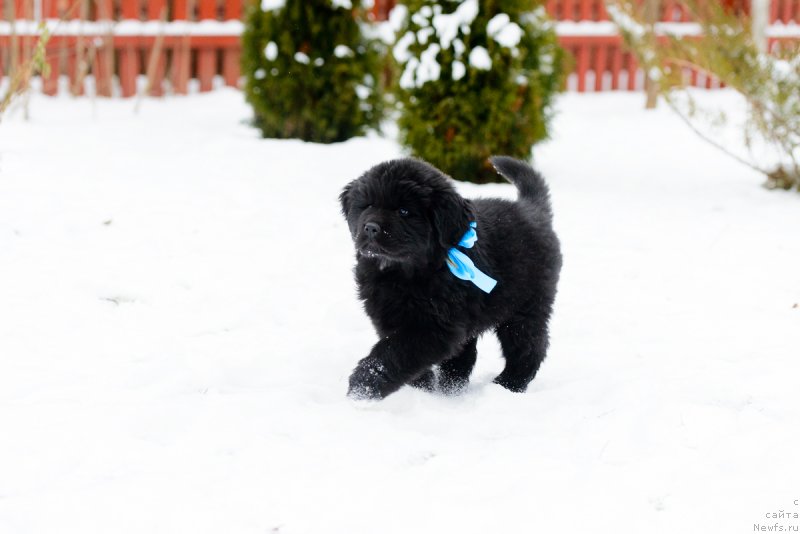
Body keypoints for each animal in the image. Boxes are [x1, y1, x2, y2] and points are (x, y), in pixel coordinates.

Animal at [340, 157, 564, 400]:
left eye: (404, 211)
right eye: (368, 205)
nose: (371, 228)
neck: (402, 273)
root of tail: (532, 210)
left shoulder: (433, 326)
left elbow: (393, 353)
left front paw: (362, 388)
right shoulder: (388, 316)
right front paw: (423, 388)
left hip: (524, 309)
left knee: (529, 348)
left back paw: (507, 385)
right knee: (464, 357)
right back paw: (452, 390)